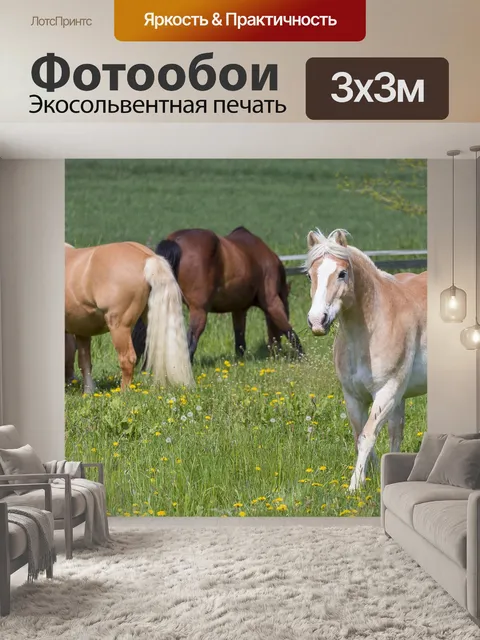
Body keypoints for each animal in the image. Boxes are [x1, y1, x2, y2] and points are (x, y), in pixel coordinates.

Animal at [65, 241, 194, 393]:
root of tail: (147, 257)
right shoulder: (82, 330)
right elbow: (84, 362)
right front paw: (88, 392)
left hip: (119, 326)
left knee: (127, 359)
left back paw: (123, 393)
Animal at [132, 227, 303, 363]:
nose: (276, 351)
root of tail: (176, 241)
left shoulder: (238, 309)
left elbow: (240, 340)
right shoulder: (272, 303)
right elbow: (290, 331)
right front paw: (303, 357)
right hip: (199, 311)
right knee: (191, 340)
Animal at [305, 229, 427, 492]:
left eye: (342, 273)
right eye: (310, 275)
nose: (317, 321)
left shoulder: (387, 392)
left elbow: (367, 436)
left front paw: (354, 486)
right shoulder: (353, 396)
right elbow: (362, 436)